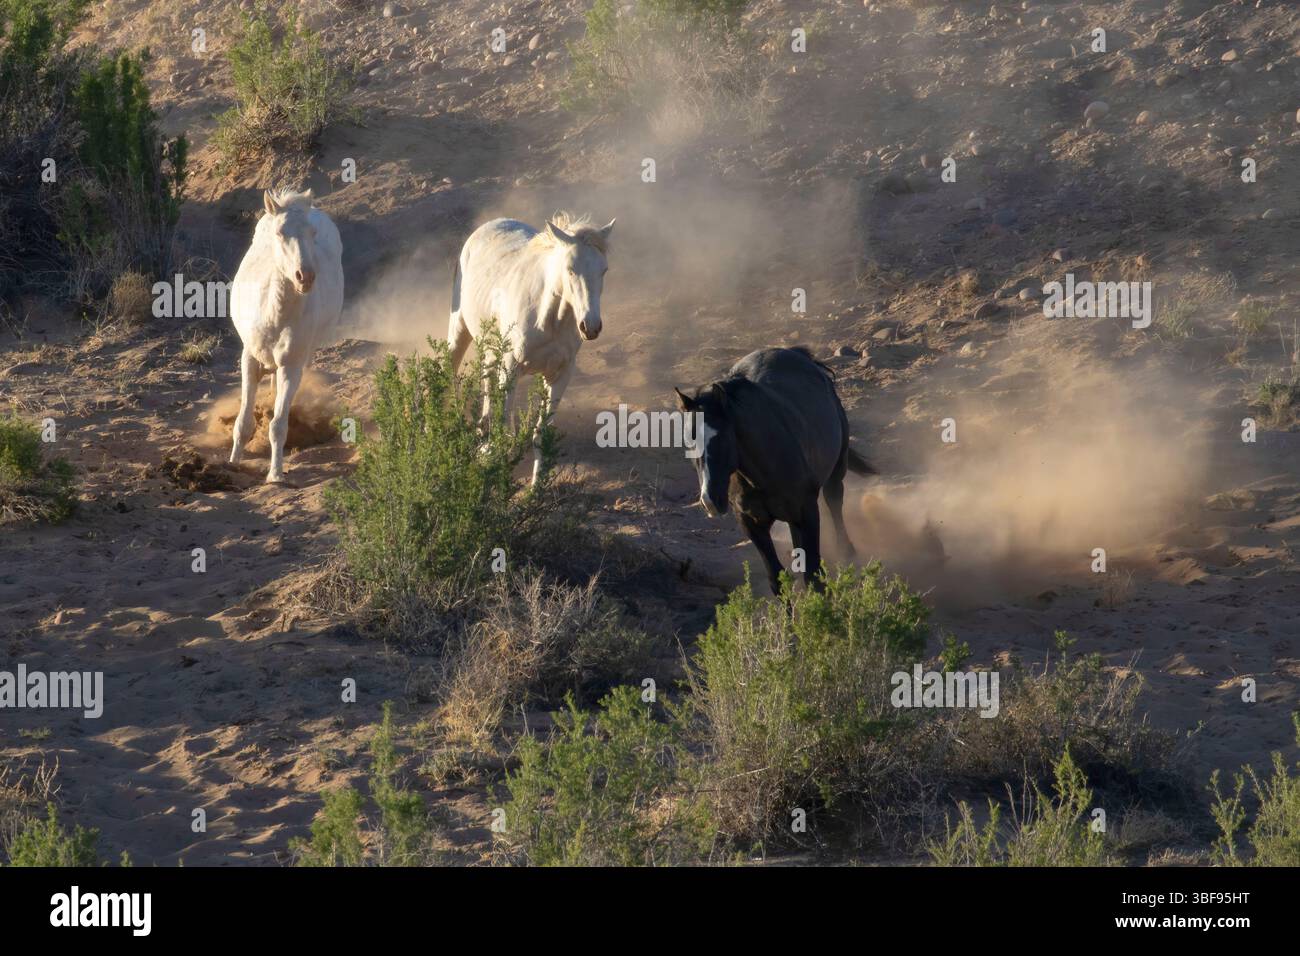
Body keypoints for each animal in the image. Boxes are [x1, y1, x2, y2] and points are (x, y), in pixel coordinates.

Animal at [229, 188, 344, 484]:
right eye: (280, 233)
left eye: (312, 233)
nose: (306, 277)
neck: (275, 314)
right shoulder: (249, 359)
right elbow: (243, 422)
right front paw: (232, 464)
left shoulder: (291, 365)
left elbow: (278, 425)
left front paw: (276, 475)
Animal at [447, 212, 614, 484]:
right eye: (570, 270)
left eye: (604, 270)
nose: (590, 327)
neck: (549, 319)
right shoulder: (510, 370)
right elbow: (506, 428)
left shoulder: (560, 375)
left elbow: (540, 433)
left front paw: (537, 485)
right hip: (459, 329)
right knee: (450, 370)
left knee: (486, 381)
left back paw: (482, 436)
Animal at [674, 346, 876, 594]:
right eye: (688, 442)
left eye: (720, 438)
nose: (710, 501)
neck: (762, 474)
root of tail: (797, 353)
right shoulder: (751, 523)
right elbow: (776, 579)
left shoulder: (807, 511)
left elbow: (813, 574)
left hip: (836, 472)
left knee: (834, 501)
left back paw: (847, 552)